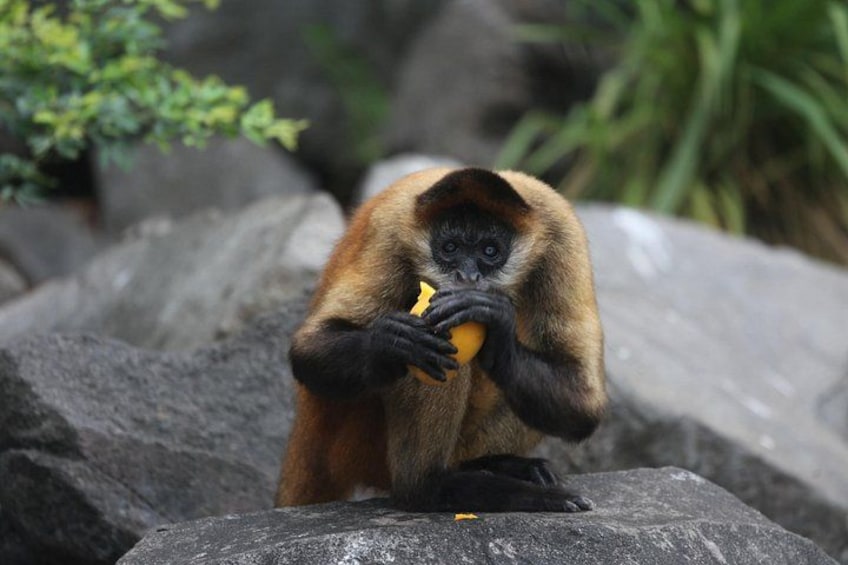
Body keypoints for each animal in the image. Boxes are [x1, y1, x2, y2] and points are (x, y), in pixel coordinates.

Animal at [276, 167, 605, 512]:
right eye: (450, 249)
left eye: (490, 251)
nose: (467, 277)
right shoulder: (388, 228)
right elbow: (308, 349)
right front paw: (394, 343)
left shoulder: (562, 231)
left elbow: (583, 405)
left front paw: (494, 320)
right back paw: (428, 487)